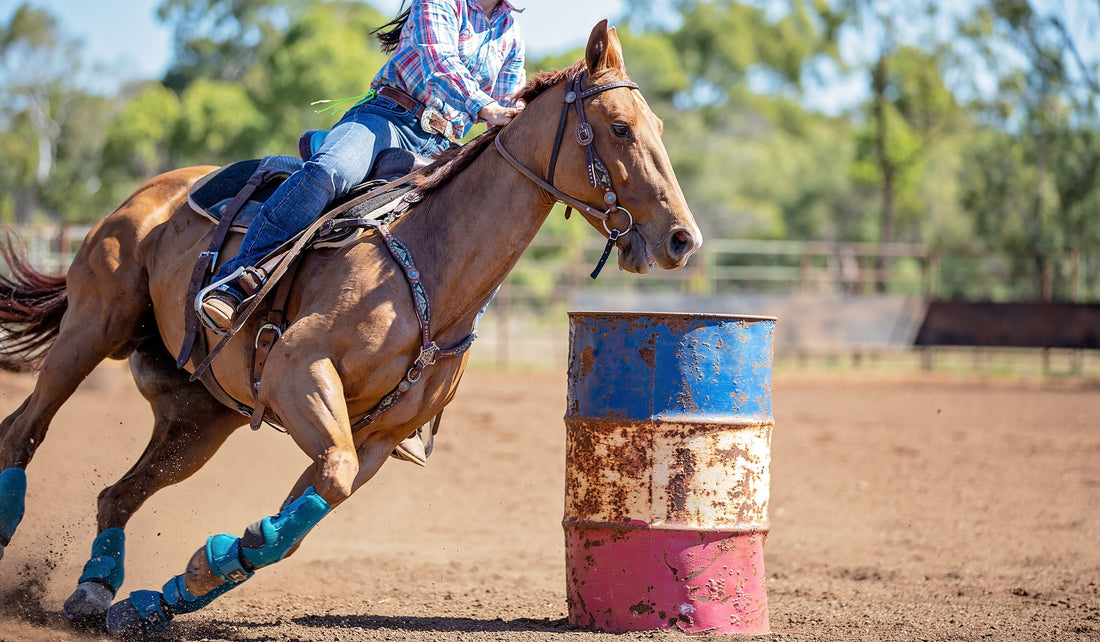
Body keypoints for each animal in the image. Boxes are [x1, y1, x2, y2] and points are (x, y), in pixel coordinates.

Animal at [0, 20, 699, 636]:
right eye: (619, 127)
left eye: (662, 128)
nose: (681, 239)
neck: (431, 263)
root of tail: (150, 195)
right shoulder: (298, 372)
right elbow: (324, 483)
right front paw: (212, 563)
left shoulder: (376, 439)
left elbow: (309, 509)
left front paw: (187, 582)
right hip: (93, 329)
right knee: (23, 431)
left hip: (198, 418)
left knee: (117, 494)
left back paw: (98, 592)